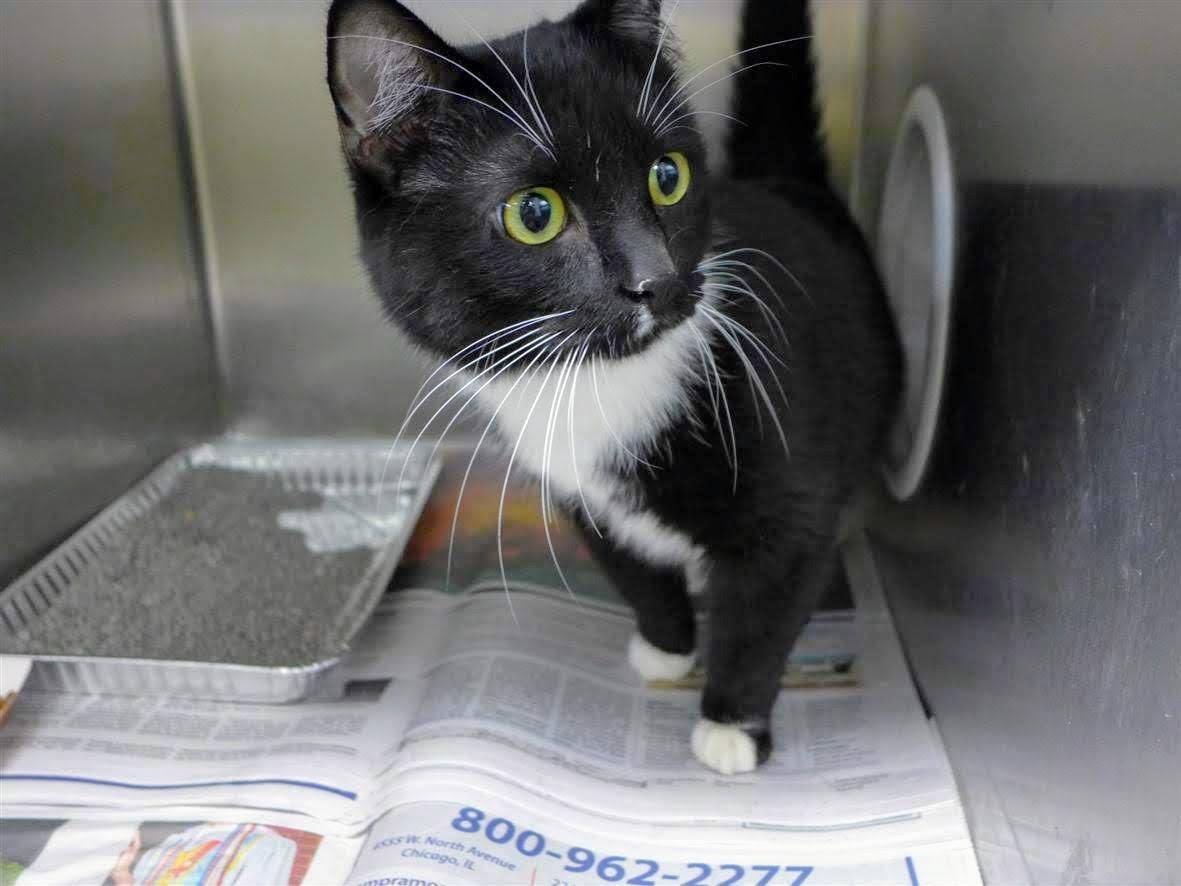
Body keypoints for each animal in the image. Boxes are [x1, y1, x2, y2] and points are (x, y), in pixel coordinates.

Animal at [323, 0, 892, 774]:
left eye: (666, 175)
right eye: (534, 214)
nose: (657, 281)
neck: (603, 383)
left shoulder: (794, 494)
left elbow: (762, 612)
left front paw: (731, 724)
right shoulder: (578, 493)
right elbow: (636, 571)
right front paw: (667, 647)